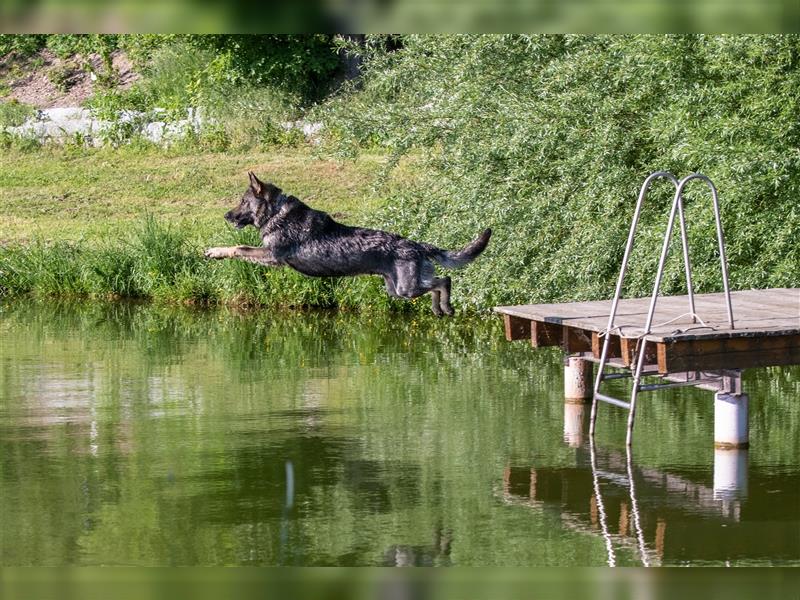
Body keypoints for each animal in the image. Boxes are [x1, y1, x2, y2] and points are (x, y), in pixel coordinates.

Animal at [205, 172, 494, 316]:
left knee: (444, 281)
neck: (276, 212)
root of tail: (417, 245)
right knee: (437, 283)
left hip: (406, 288)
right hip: (397, 290)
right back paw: (439, 309)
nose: (226, 216)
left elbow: (238, 249)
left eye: (243, 202)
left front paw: (215, 251)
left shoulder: (272, 256)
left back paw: (445, 306)